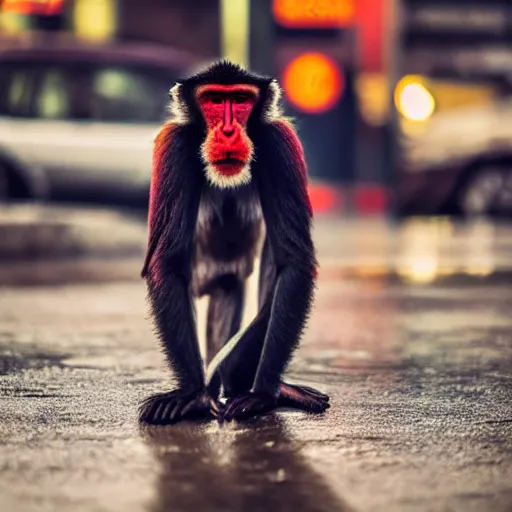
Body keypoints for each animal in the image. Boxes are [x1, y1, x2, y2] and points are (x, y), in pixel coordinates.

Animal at [140, 60, 330, 424]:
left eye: (240, 100)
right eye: (214, 100)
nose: (228, 131)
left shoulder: (279, 141)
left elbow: (293, 262)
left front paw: (261, 392)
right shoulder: (174, 146)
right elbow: (167, 260)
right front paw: (193, 395)